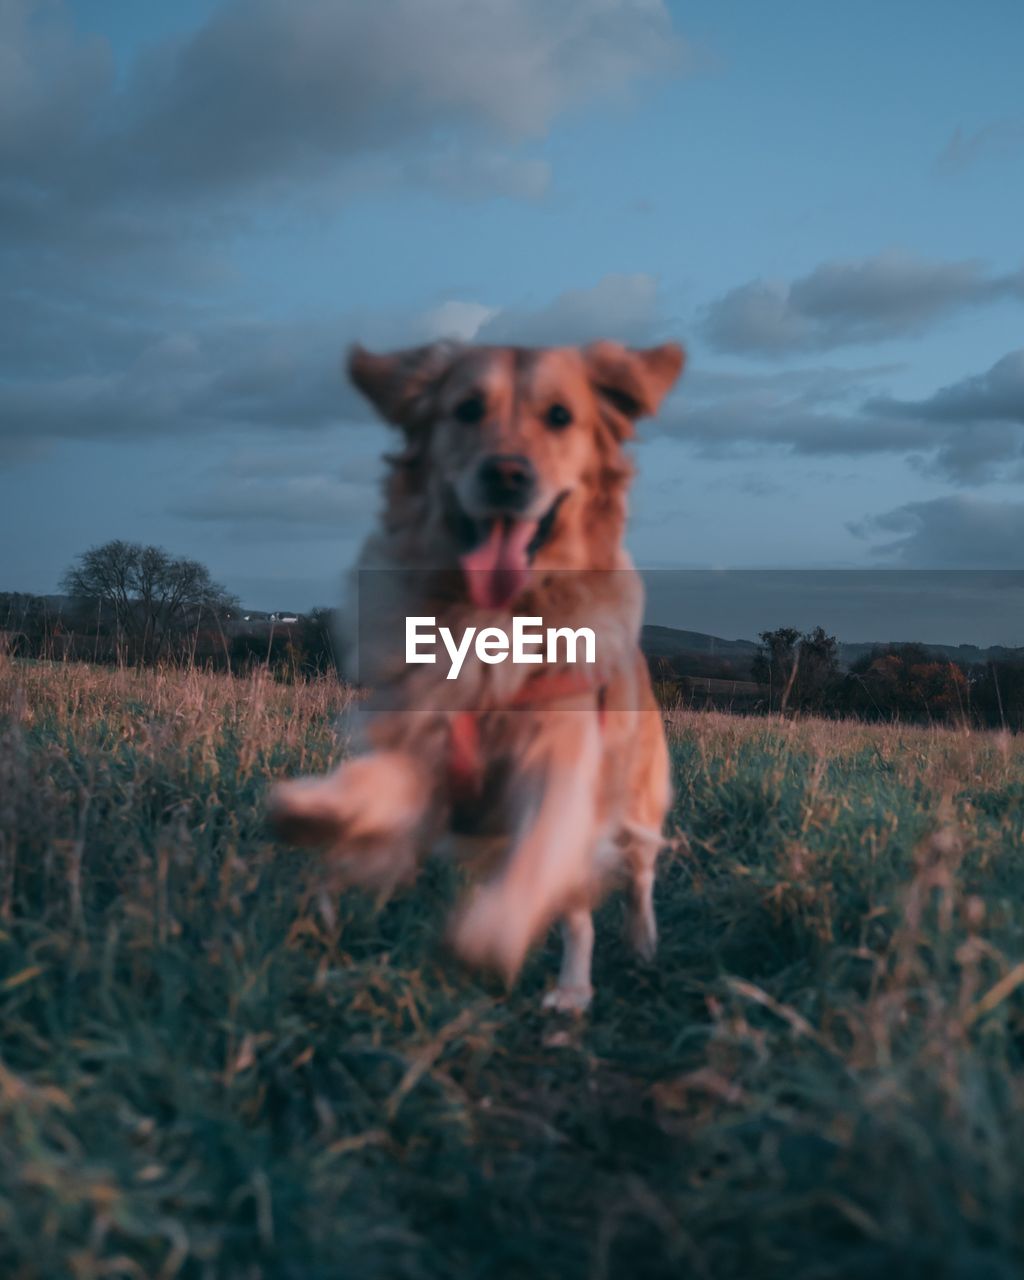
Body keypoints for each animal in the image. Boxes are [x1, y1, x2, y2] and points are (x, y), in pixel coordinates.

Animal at [271, 337, 686, 1008]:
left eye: (560, 417)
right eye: (467, 409)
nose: (507, 475)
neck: (491, 619)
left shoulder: (563, 761)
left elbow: (545, 850)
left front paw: (489, 936)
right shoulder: (424, 745)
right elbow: (380, 782)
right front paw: (320, 807)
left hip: (638, 801)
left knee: (624, 885)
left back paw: (608, 965)